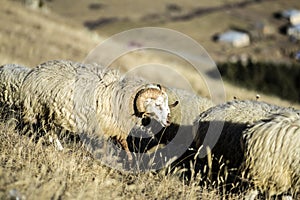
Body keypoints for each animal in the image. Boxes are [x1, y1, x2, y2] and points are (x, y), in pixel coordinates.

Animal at [20, 59, 176, 161]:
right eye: (158, 105)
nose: (169, 120)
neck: (122, 98)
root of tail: (36, 70)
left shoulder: (114, 130)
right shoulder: (103, 129)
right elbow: (108, 148)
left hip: (49, 112)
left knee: (49, 129)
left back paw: (58, 147)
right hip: (39, 107)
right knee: (46, 129)